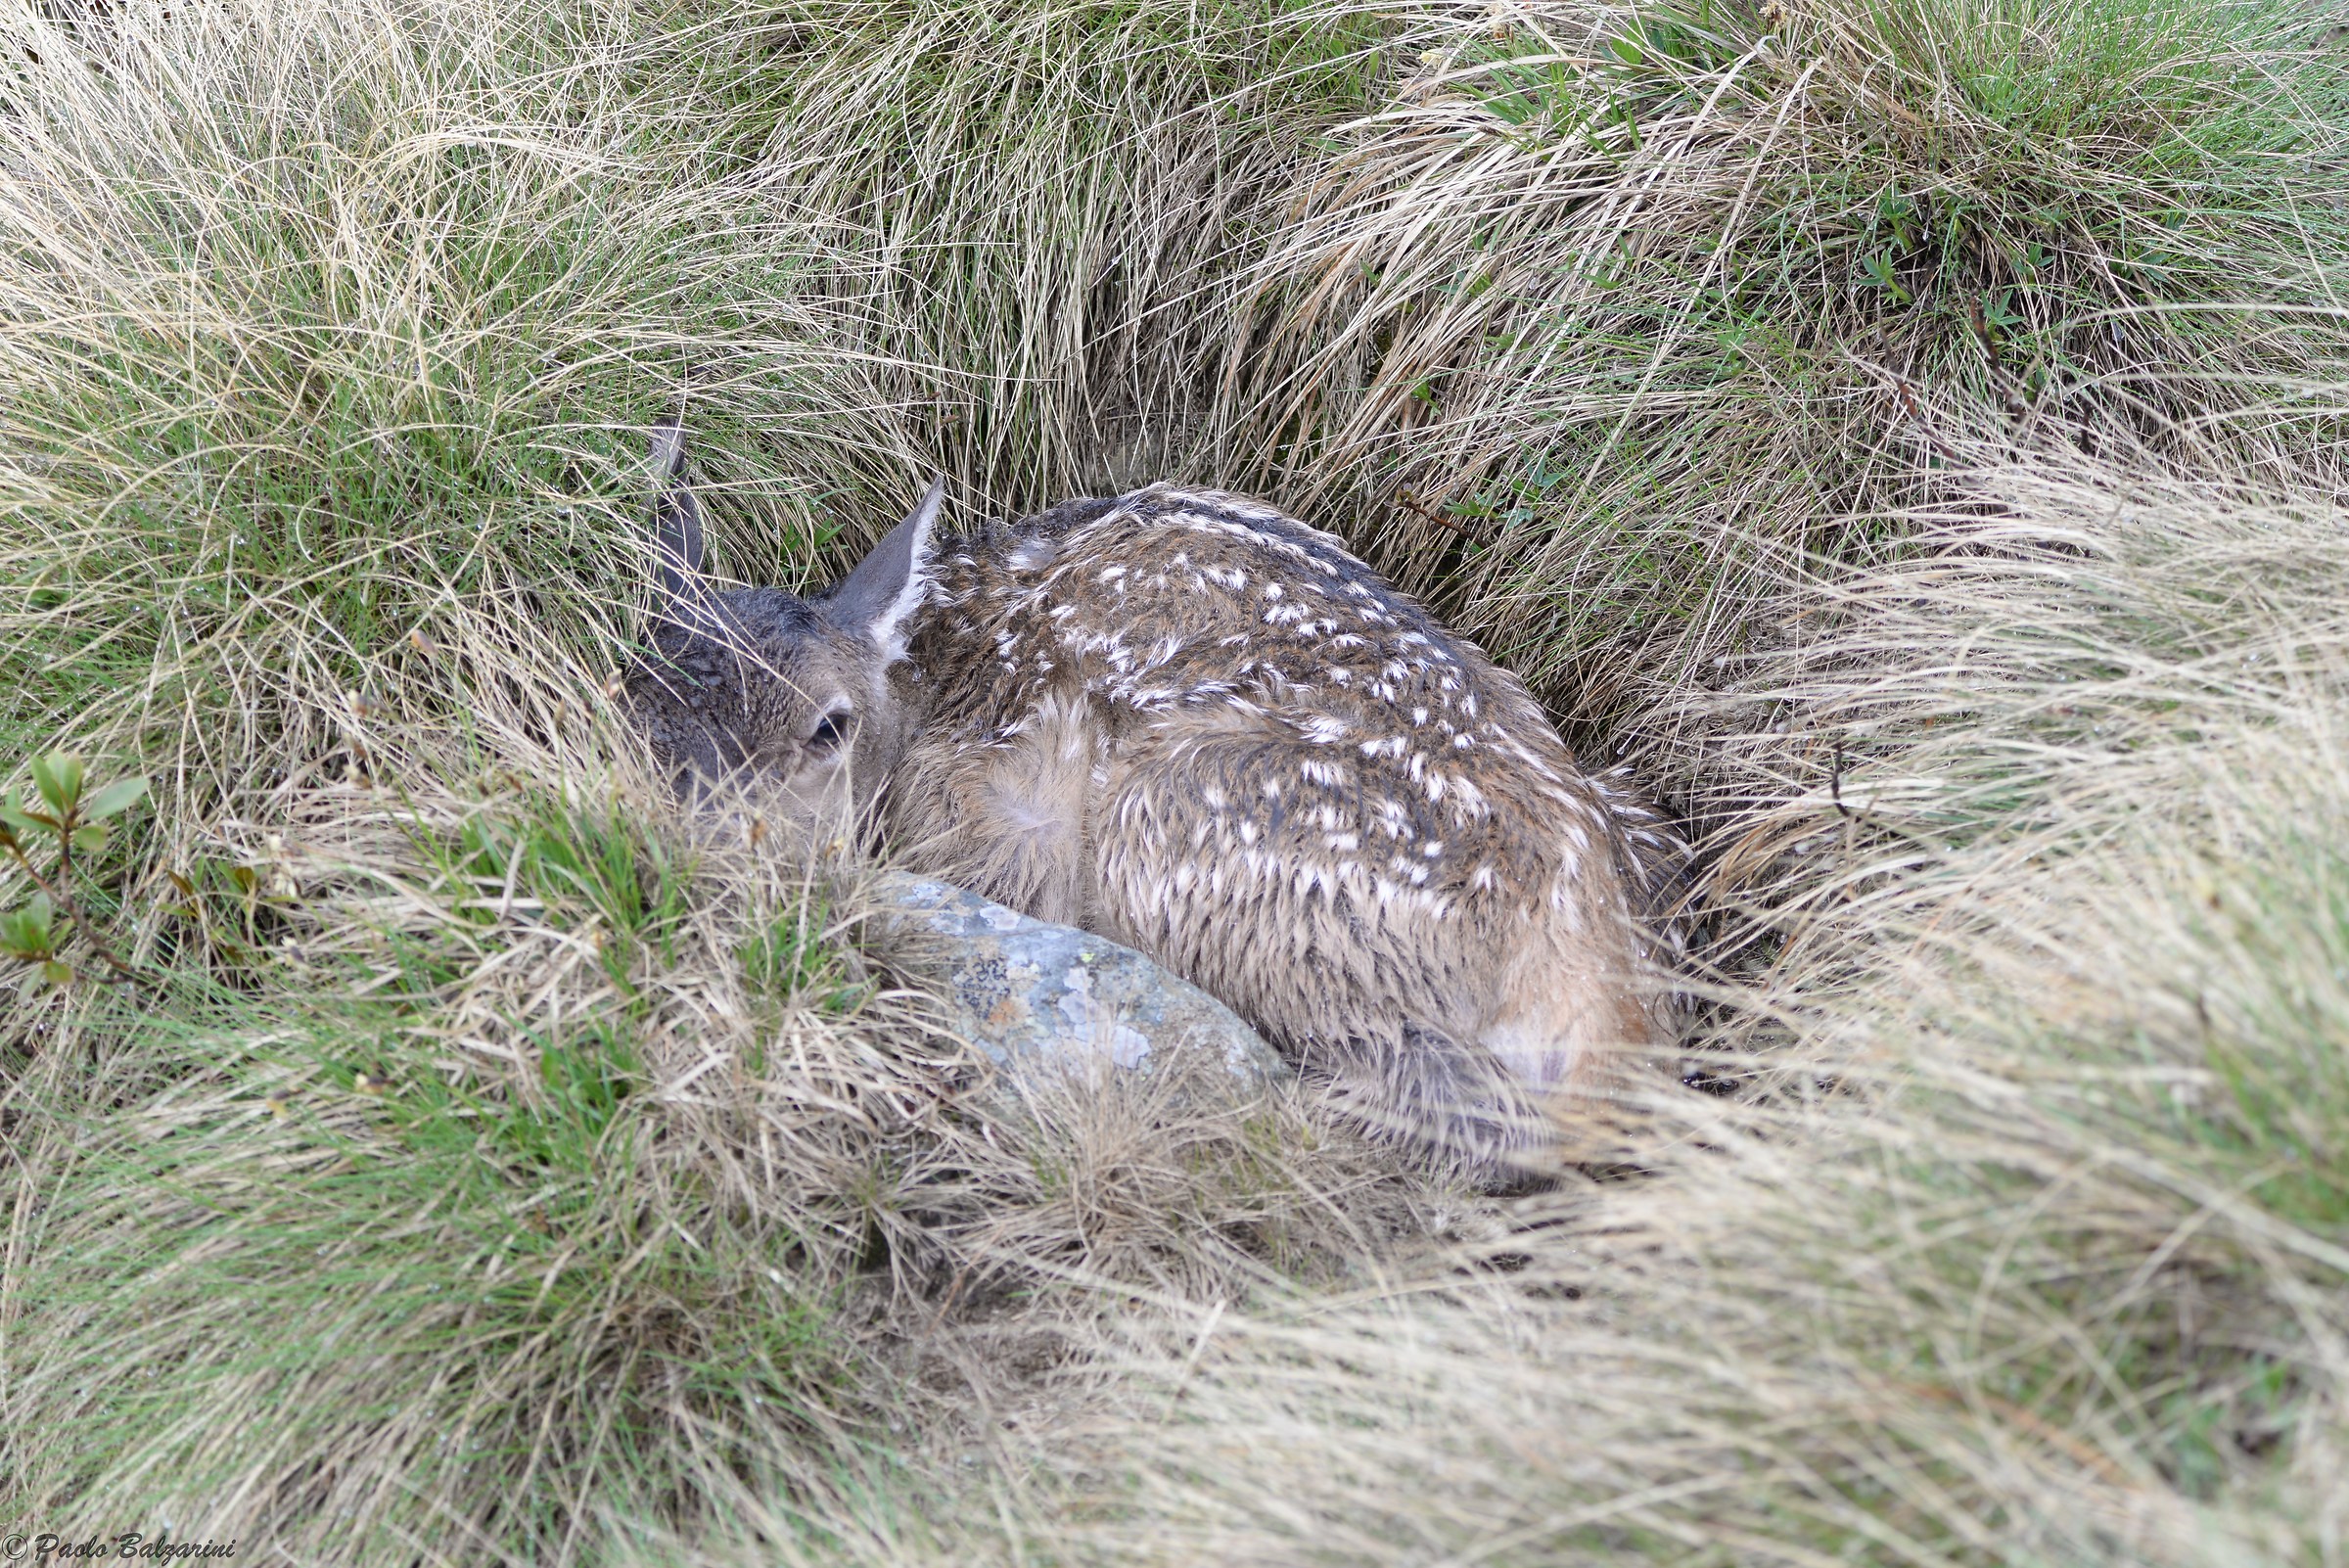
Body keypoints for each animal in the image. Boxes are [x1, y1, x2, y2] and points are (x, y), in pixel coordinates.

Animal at [626, 420, 1687, 1177]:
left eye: (829, 727)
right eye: (627, 703)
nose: (693, 853)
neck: (927, 684)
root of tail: (1604, 1001)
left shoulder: (994, 815)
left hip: (1203, 828)